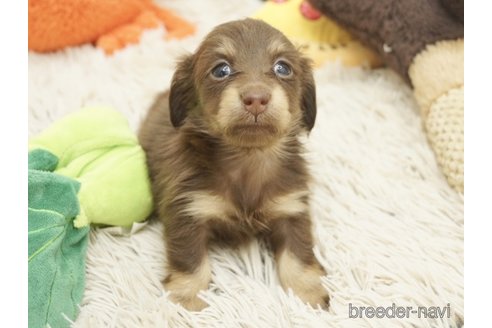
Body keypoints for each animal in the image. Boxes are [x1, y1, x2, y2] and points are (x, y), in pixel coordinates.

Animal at [138, 18, 328, 310]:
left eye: (283, 68)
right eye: (221, 70)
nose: (256, 98)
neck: (248, 159)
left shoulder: (291, 208)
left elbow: (298, 256)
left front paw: (309, 293)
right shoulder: (188, 212)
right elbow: (192, 263)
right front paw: (186, 300)